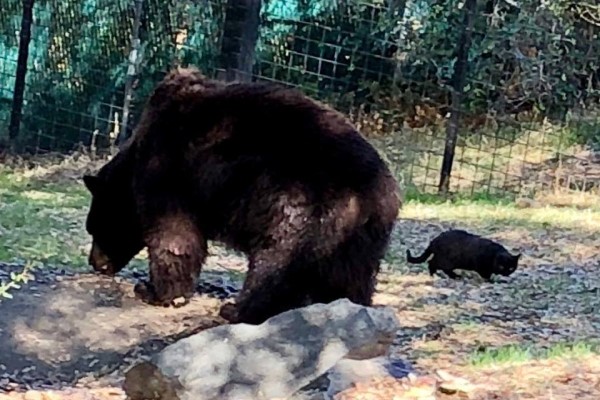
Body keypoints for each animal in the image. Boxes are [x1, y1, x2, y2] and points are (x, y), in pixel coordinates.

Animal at [83, 68, 404, 324]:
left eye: (94, 228)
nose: (95, 263)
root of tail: (369, 191)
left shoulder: (167, 169)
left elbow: (173, 235)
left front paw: (153, 290)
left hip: (297, 202)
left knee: (275, 262)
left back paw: (237, 309)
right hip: (364, 238)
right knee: (353, 277)